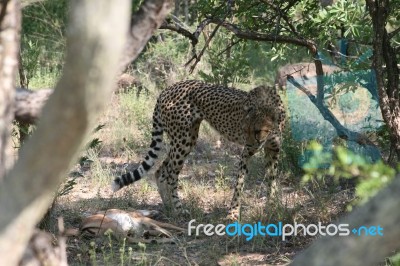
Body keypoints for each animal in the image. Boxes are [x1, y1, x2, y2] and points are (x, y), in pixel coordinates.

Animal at [112, 80, 286, 219]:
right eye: (244, 130)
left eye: (256, 131)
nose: (250, 143)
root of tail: (167, 89)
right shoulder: (246, 154)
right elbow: (239, 184)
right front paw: (233, 214)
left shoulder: (273, 151)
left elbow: (272, 180)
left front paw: (272, 207)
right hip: (183, 140)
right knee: (171, 174)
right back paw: (179, 209)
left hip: (184, 139)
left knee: (161, 170)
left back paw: (169, 207)